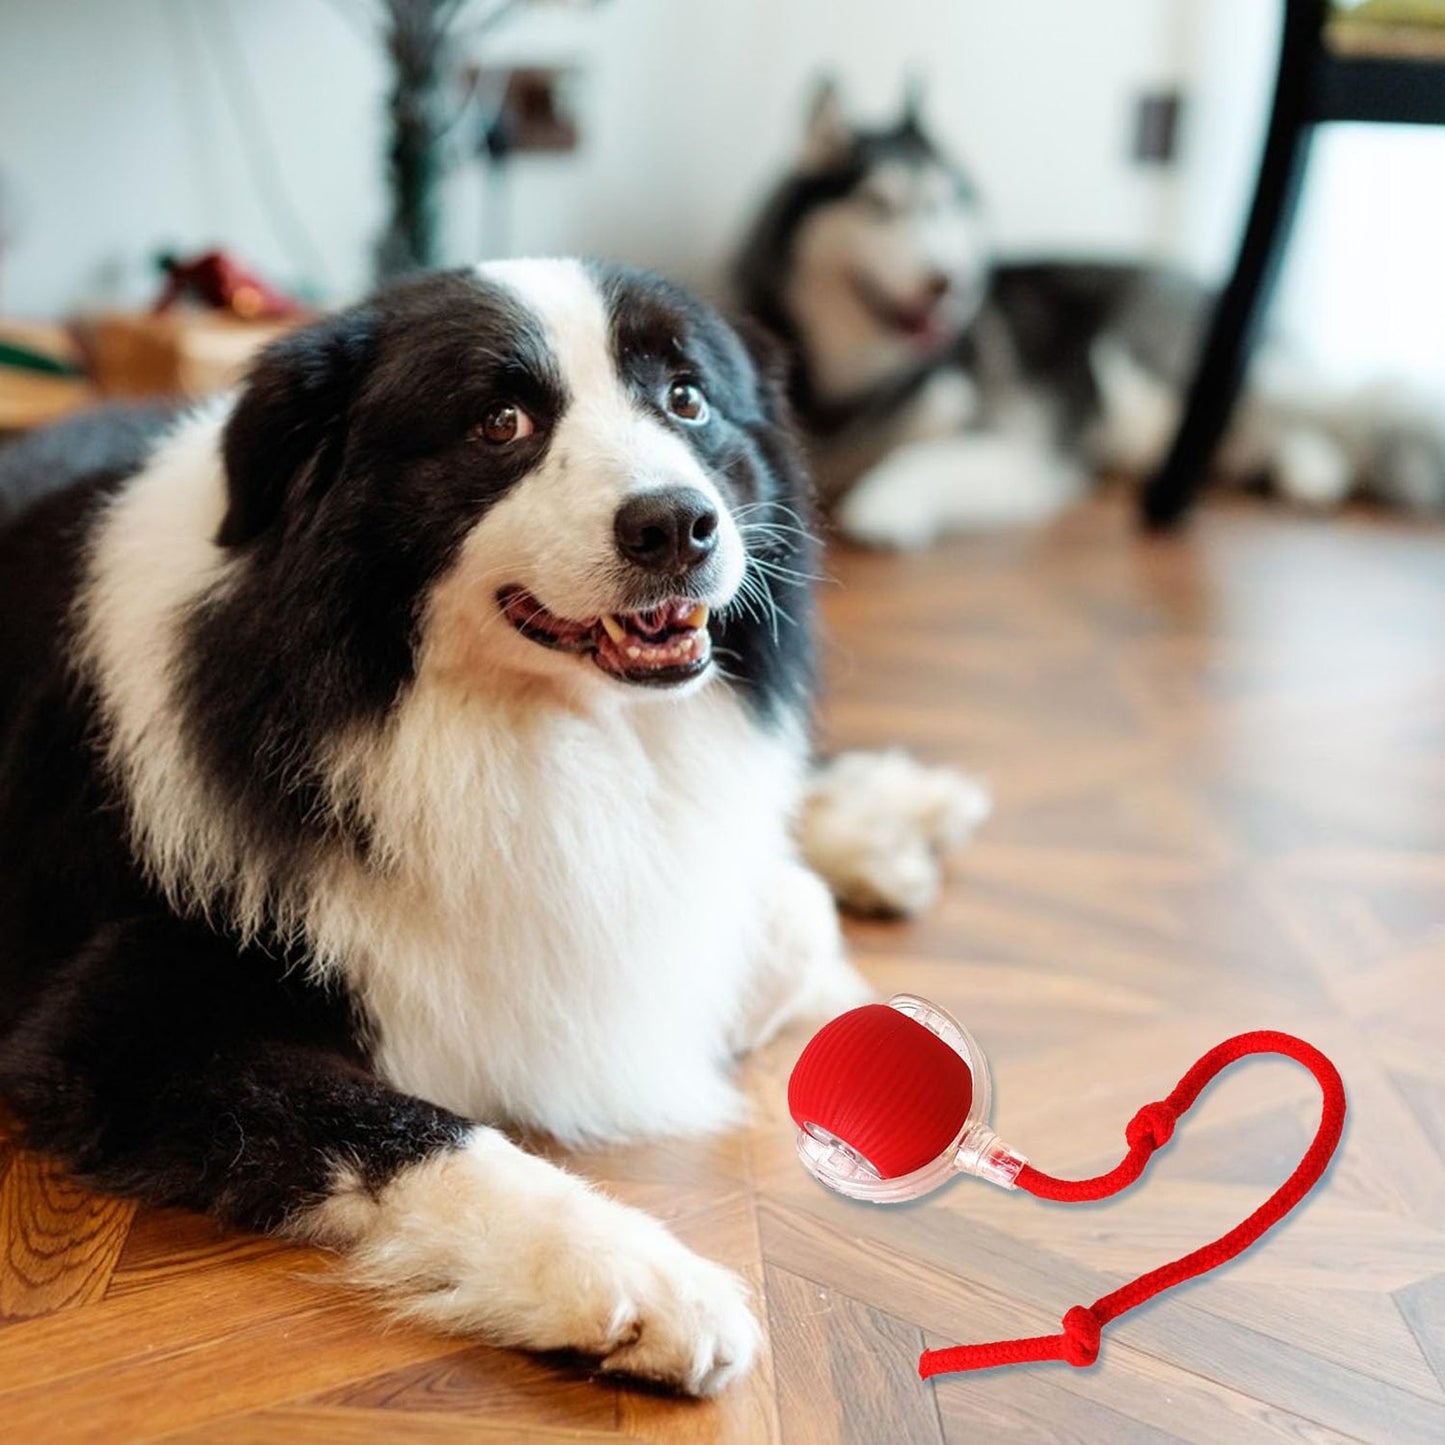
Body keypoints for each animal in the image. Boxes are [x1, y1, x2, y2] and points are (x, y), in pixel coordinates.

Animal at [0, 262, 982, 1398]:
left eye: (686, 399)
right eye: (499, 423)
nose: (677, 524)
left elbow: (779, 918)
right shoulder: (119, 1027)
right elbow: (421, 1125)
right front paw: (636, 1274)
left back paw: (894, 813)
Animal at [734, 82, 1445, 549]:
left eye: (943, 207)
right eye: (880, 206)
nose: (949, 283)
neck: (859, 386)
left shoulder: (1019, 445)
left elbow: (918, 460)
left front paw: (886, 504)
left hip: (1171, 377)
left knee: (1307, 415)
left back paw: (1314, 471)